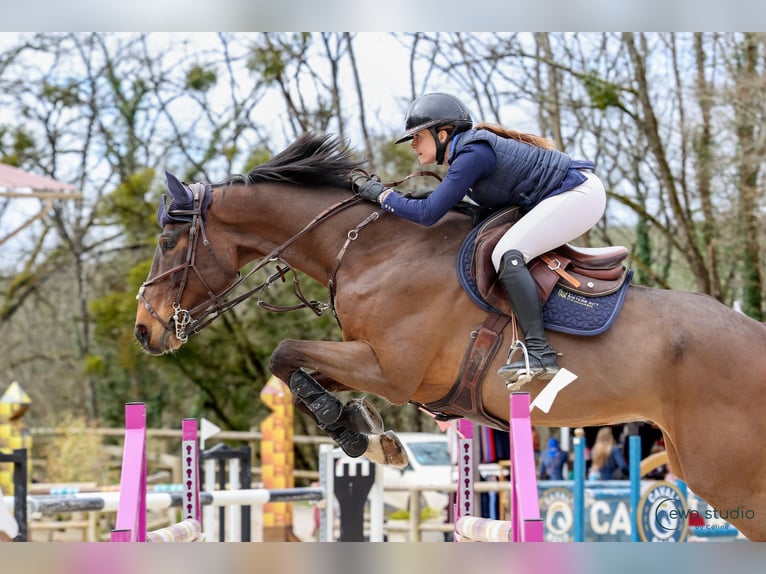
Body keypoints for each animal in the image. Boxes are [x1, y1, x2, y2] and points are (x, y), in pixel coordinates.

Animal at [135, 133, 766, 544]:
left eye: (167, 243)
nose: (144, 331)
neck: (371, 250)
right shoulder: (369, 361)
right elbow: (296, 365)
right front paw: (364, 432)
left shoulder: (391, 370)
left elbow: (284, 353)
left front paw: (355, 430)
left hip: (727, 473)